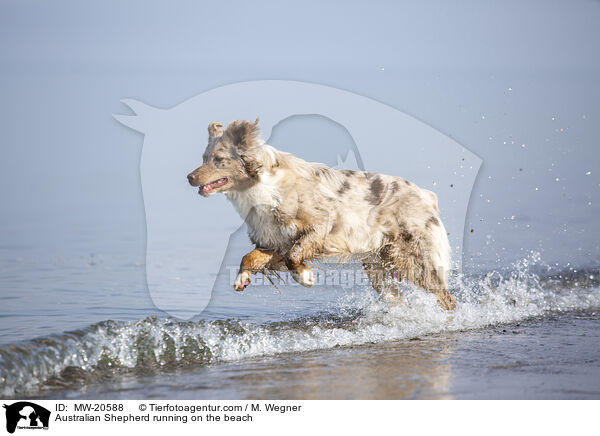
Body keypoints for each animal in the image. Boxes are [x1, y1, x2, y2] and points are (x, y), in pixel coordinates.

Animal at [188, 119, 454, 310]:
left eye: (219, 159)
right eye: (204, 158)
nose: (189, 177)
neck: (262, 185)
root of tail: (427, 195)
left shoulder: (320, 225)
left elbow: (294, 255)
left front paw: (305, 276)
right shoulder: (275, 239)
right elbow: (250, 257)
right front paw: (242, 278)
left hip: (417, 260)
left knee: (445, 297)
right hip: (378, 264)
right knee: (395, 295)